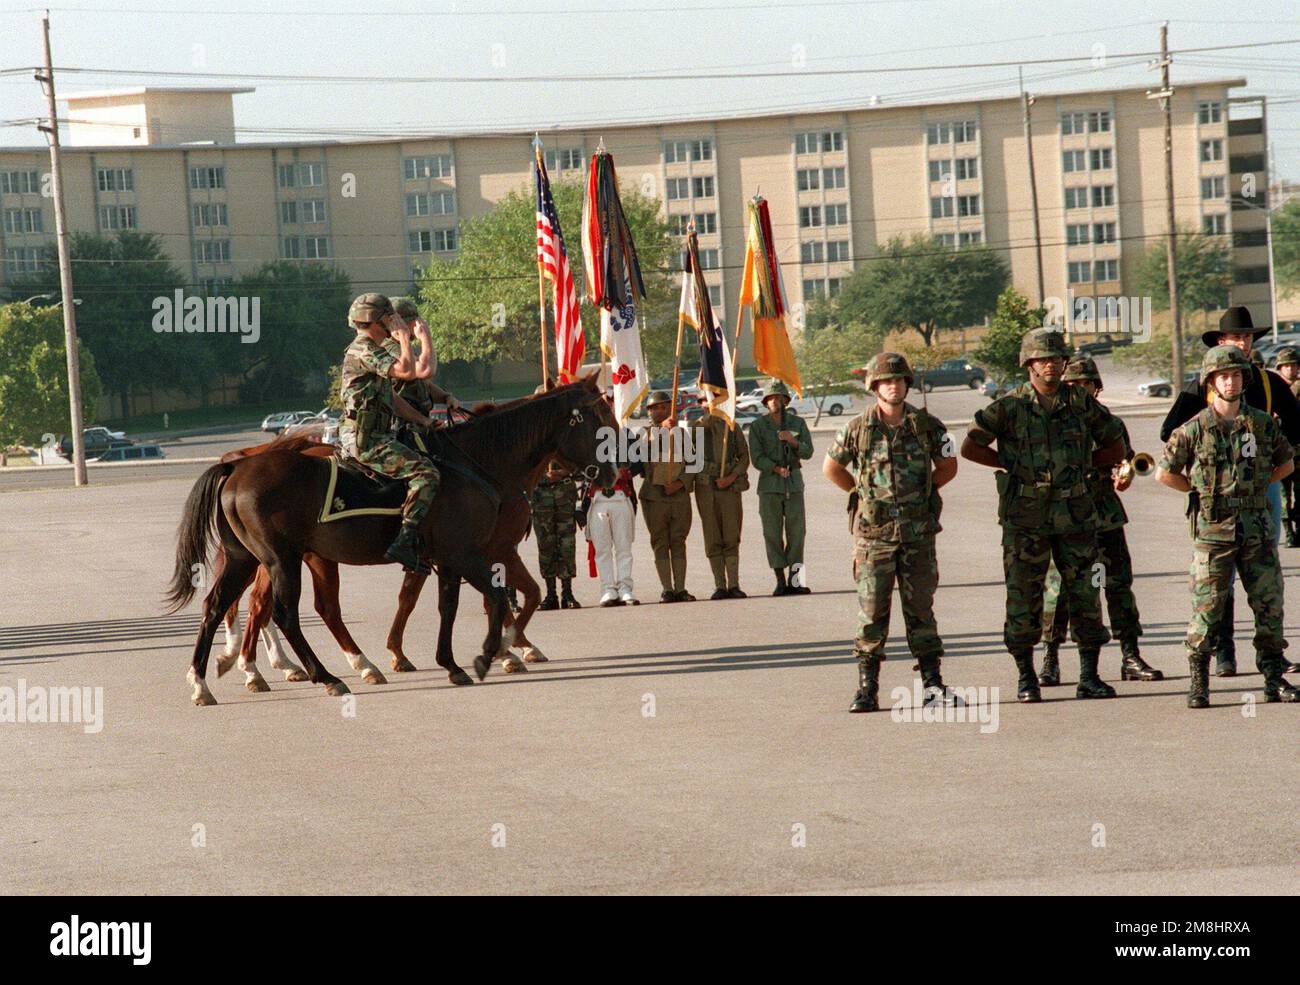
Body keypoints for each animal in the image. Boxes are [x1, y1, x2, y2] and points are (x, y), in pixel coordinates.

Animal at [167, 379, 613, 712]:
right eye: (600, 421)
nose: (612, 473)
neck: (477, 464)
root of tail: (236, 464)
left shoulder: (450, 559)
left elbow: (449, 606)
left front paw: (452, 662)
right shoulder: (471, 553)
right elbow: (499, 598)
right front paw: (494, 653)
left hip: (247, 559)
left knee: (216, 606)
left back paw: (204, 680)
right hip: (283, 560)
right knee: (285, 612)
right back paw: (325, 675)